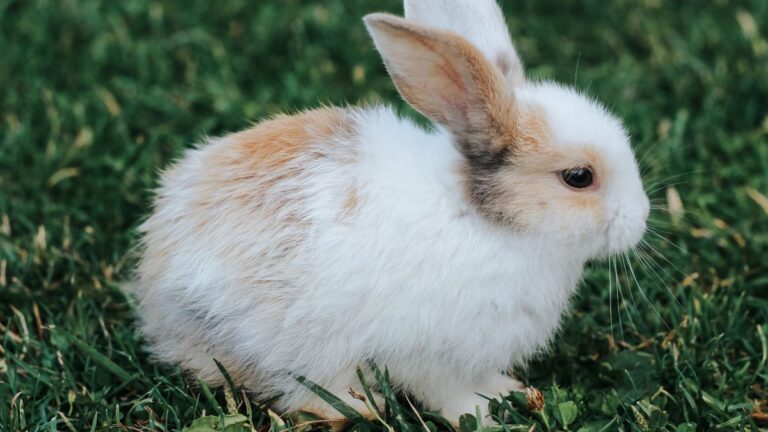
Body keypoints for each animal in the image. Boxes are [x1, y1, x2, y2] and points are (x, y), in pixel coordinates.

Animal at [134, 0, 650, 424]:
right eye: (578, 177)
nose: (641, 219)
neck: (486, 219)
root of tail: (154, 288)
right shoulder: (432, 355)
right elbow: (450, 395)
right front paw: (483, 416)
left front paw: (509, 390)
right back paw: (362, 406)